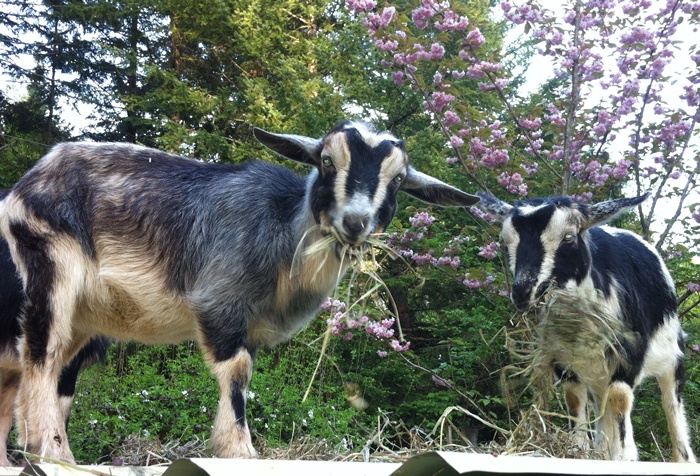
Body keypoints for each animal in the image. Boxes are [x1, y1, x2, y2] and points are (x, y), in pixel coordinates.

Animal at [477, 192, 695, 462]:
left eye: (568, 237)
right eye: (505, 241)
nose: (522, 292)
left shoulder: (629, 353)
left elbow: (620, 397)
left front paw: (625, 456)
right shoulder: (563, 359)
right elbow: (574, 398)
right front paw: (579, 449)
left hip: (672, 353)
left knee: (671, 402)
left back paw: (682, 458)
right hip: (597, 372)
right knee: (601, 403)